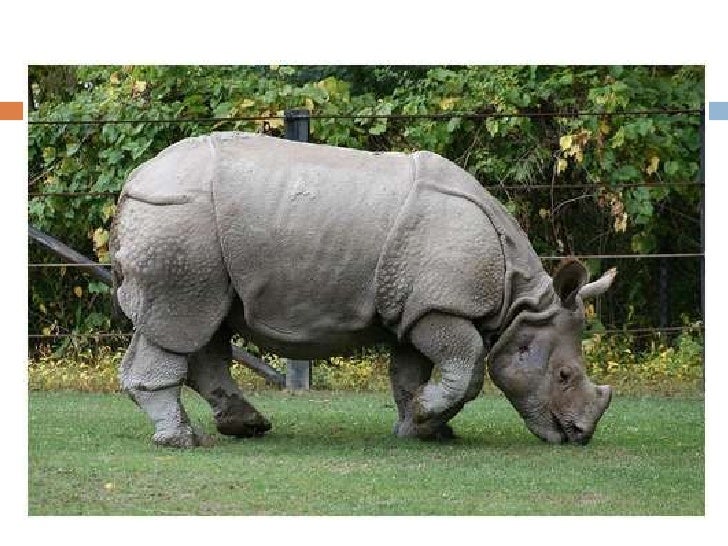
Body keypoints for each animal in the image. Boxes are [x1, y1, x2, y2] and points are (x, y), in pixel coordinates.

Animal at [110, 132, 616, 448]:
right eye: (564, 375)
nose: (579, 436)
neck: (519, 301)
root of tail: (134, 181)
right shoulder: (440, 306)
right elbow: (467, 365)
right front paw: (427, 417)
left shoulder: (415, 307)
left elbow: (409, 373)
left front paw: (420, 426)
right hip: (179, 222)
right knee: (181, 320)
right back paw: (184, 441)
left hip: (187, 233)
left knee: (203, 325)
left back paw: (246, 426)